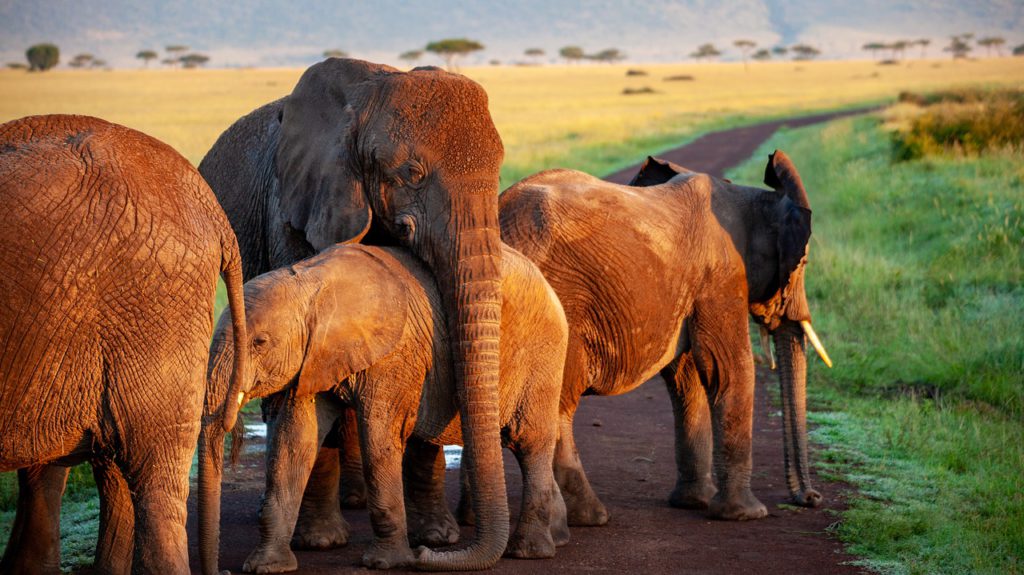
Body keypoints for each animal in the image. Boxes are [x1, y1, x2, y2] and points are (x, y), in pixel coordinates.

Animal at [197, 57, 510, 569]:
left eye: (500, 174)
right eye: (412, 172)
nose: (425, 553)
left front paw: (437, 538)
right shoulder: (294, 210)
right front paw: (321, 542)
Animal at [198, 242, 569, 572]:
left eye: (260, 342)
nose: (423, 557)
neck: (310, 282)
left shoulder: (392, 356)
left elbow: (378, 437)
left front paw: (384, 563)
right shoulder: (311, 359)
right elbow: (294, 442)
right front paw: (266, 567)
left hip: (544, 352)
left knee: (530, 441)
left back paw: (528, 551)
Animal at [497, 150, 831, 525]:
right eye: (803, 263)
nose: (811, 499)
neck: (751, 198)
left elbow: (687, 378)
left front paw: (695, 502)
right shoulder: (723, 277)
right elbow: (729, 368)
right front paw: (747, 514)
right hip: (561, 302)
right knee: (557, 406)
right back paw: (590, 516)